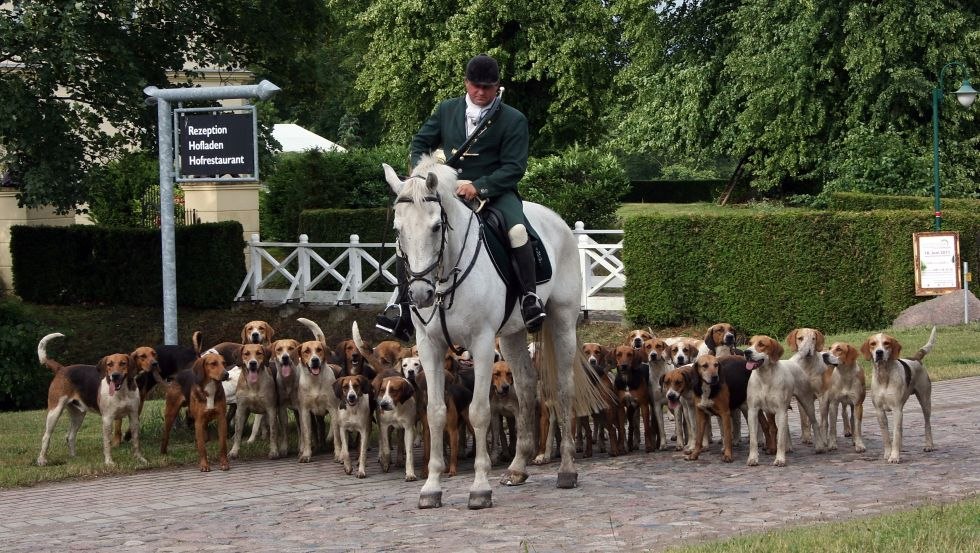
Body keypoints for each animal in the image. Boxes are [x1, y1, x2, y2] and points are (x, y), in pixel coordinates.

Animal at [384, 155, 604, 508]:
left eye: (436, 227)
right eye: (398, 230)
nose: (419, 294)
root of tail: (556, 220)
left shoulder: (483, 344)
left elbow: (479, 413)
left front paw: (479, 488)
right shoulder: (428, 346)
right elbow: (435, 413)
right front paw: (431, 488)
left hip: (562, 322)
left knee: (563, 389)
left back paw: (567, 470)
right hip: (512, 336)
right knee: (526, 385)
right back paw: (517, 468)